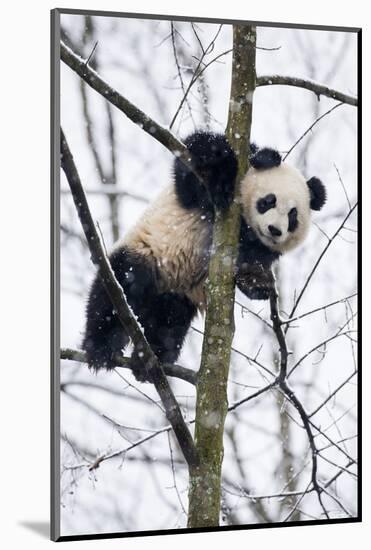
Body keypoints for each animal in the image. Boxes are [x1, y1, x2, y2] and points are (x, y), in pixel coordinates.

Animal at [83, 130, 326, 380]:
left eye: (293, 215)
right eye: (269, 201)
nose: (275, 230)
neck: (245, 225)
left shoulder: (259, 247)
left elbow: (251, 262)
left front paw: (258, 283)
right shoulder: (197, 189)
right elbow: (195, 161)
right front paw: (221, 179)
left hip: (178, 295)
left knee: (169, 322)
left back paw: (150, 361)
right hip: (145, 253)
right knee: (117, 290)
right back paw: (101, 348)